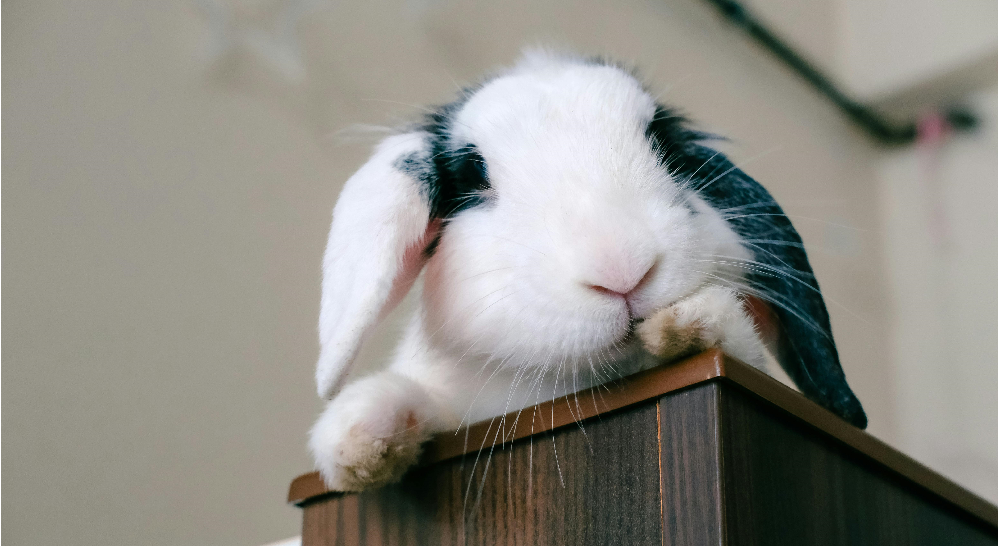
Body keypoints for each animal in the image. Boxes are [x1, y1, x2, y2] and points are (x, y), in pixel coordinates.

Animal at [308, 51, 867, 491]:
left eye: (663, 142)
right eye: (473, 174)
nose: (622, 270)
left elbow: (737, 344)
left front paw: (689, 325)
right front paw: (358, 441)